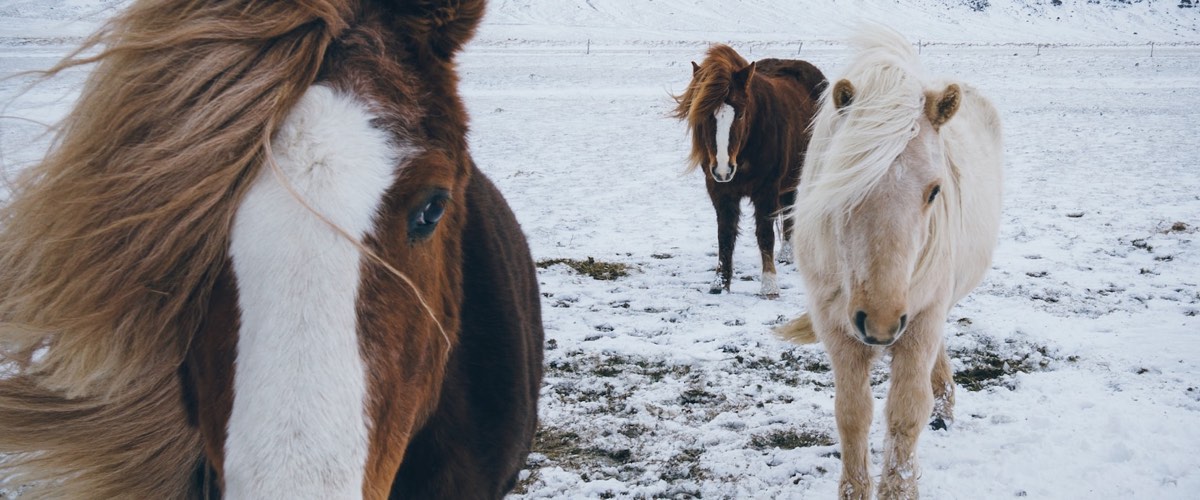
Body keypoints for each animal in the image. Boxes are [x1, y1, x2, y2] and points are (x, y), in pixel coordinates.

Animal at [672, 43, 830, 296]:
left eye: (741, 114)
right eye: (705, 115)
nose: (724, 169)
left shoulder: (766, 191)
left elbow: (764, 235)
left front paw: (769, 286)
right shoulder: (720, 192)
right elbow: (725, 235)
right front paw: (720, 283)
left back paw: (787, 256)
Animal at [777, 24, 1003, 498]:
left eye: (934, 190)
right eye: (846, 182)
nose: (879, 322)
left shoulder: (920, 322)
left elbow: (905, 415)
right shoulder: (837, 330)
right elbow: (852, 415)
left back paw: (943, 411)